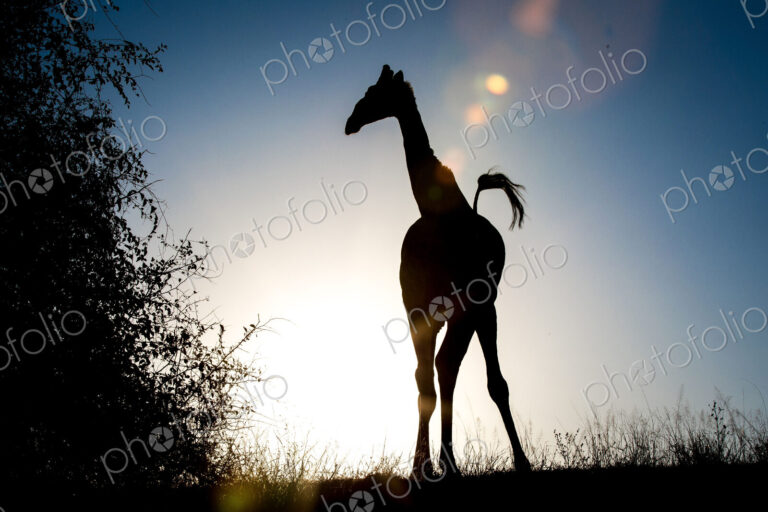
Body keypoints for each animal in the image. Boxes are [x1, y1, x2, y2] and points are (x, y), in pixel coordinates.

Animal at [345, 65, 531, 476]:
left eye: (373, 92)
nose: (351, 122)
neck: (440, 216)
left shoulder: (474, 302)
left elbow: (478, 378)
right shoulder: (415, 305)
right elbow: (424, 381)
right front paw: (422, 466)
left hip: (478, 309)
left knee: (471, 374)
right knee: (439, 373)